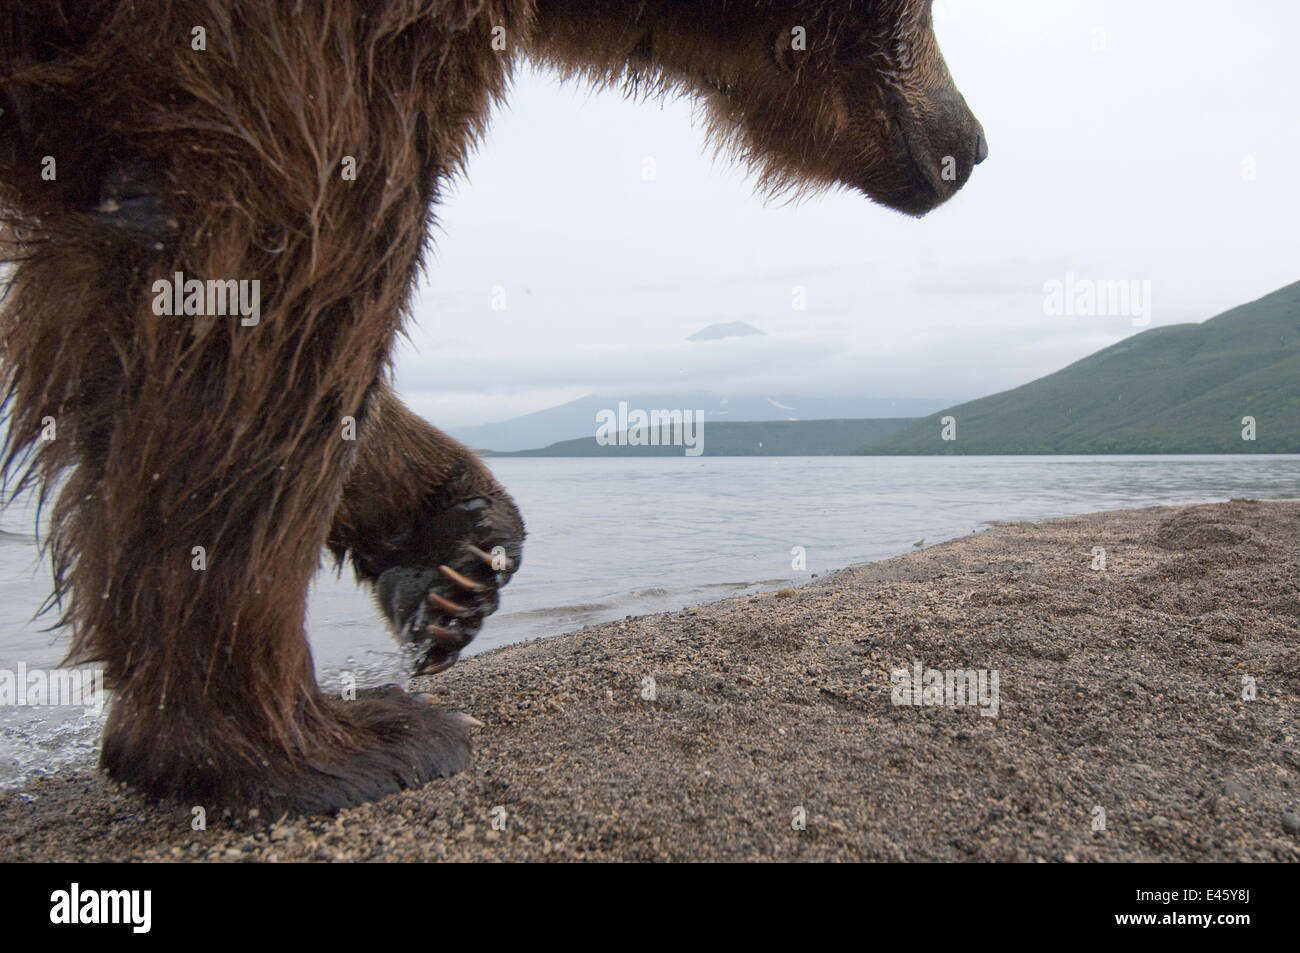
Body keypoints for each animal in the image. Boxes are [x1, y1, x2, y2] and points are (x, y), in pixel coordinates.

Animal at [0, 1, 977, 816]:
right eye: (932, 7)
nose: (969, 141)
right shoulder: (278, 43)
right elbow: (277, 252)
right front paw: (338, 738)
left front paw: (454, 550)